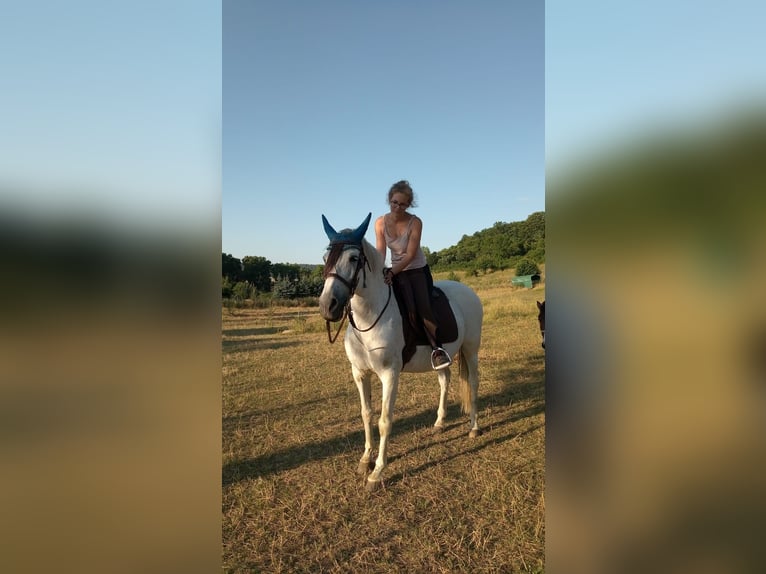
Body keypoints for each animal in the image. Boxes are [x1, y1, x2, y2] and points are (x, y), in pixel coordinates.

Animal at [318, 213, 484, 492]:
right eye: (325, 257)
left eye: (353, 259)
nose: (327, 306)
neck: (370, 316)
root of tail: (468, 291)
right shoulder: (359, 373)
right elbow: (366, 415)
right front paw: (365, 460)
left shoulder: (389, 374)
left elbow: (385, 420)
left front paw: (377, 473)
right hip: (442, 357)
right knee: (445, 380)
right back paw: (439, 423)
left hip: (471, 350)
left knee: (472, 383)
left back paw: (474, 428)